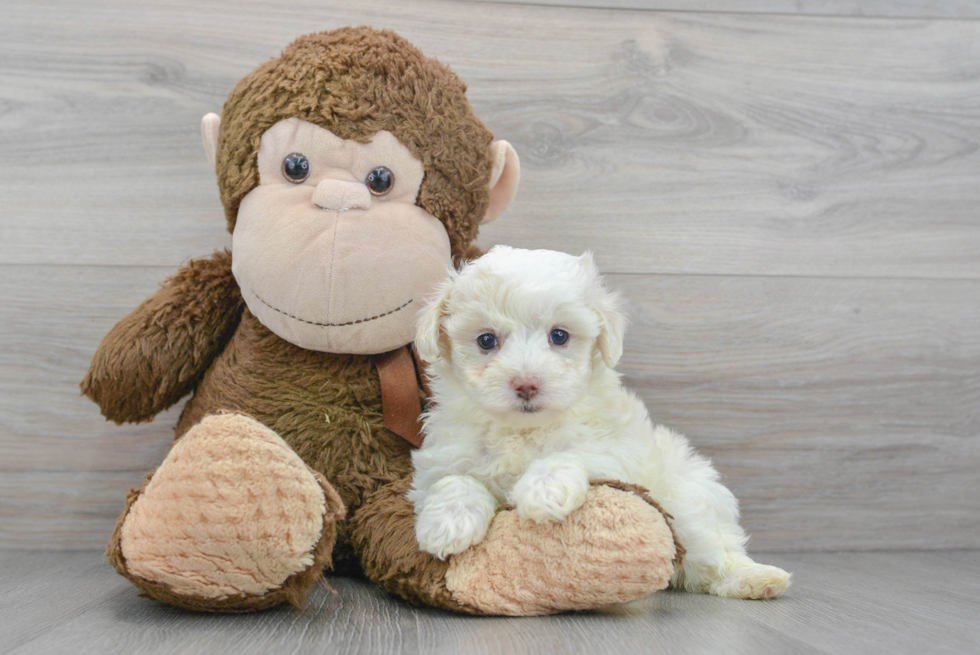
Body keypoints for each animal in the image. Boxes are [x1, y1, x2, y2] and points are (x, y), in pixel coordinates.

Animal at [410, 245, 792, 600]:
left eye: (559, 336)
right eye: (486, 340)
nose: (526, 384)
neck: (523, 430)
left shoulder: (617, 451)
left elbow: (573, 452)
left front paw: (543, 490)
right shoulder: (440, 460)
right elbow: (455, 480)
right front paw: (447, 522)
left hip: (688, 503)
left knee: (714, 554)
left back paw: (754, 579)